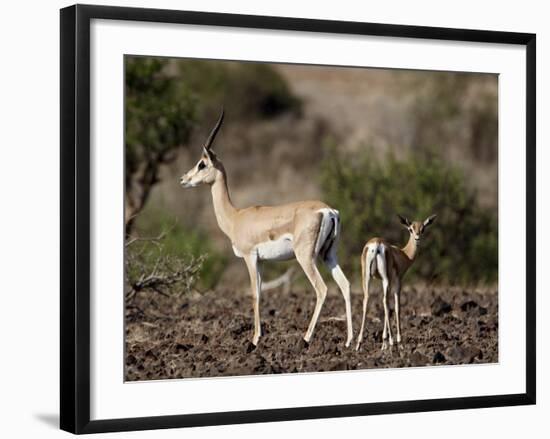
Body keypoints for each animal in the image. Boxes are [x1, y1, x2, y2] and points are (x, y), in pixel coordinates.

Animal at [179, 111, 356, 350]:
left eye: (202, 164)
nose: (183, 179)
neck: (236, 217)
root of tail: (328, 210)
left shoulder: (249, 257)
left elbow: (254, 294)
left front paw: (254, 340)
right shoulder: (261, 261)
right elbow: (262, 294)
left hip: (305, 257)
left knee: (322, 289)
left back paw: (306, 338)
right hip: (328, 255)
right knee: (345, 285)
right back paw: (350, 341)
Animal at [358, 215, 440, 352]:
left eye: (423, 229)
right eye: (410, 229)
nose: (417, 239)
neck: (403, 254)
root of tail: (376, 244)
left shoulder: (384, 281)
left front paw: (384, 343)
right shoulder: (397, 281)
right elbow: (396, 307)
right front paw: (397, 342)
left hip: (367, 277)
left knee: (367, 300)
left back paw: (358, 344)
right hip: (385, 279)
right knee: (385, 302)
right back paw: (392, 342)